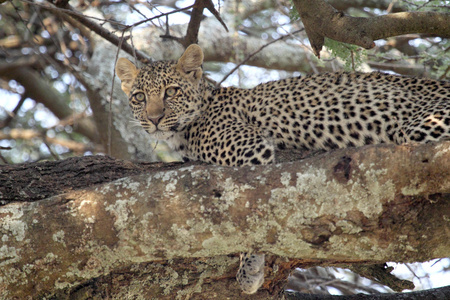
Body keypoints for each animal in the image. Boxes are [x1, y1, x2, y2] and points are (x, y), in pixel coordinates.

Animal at [116, 45, 450, 296]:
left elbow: (247, 215)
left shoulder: (251, 150)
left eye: (171, 92)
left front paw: (248, 268)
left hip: (419, 128)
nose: (154, 118)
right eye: (139, 97)